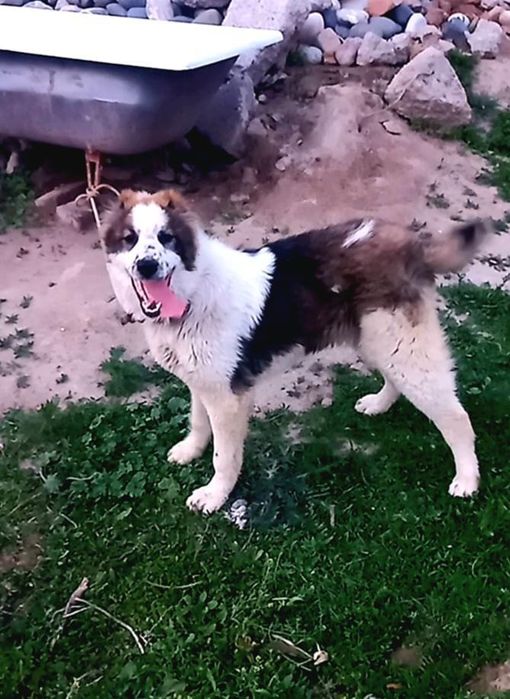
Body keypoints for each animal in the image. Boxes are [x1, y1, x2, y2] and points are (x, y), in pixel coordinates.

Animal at [100, 188, 487, 515]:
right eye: (130, 239)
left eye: (166, 238)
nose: (147, 266)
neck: (192, 293)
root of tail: (413, 243)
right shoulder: (203, 380)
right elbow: (197, 421)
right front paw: (190, 450)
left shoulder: (228, 397)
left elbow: (224, 457)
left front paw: (214, 496)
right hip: (379, 341)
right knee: (396, 380)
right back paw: (379, 404)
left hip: (403, 348)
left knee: (457, 418)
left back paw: (467, 480)